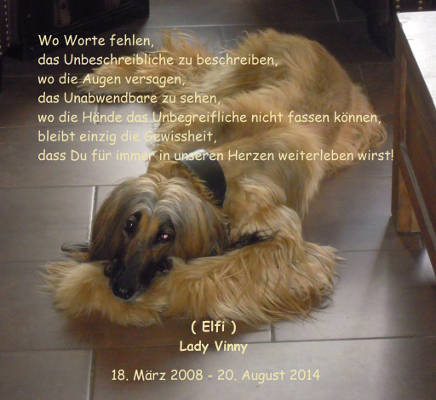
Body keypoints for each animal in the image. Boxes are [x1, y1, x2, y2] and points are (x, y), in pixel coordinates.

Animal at [44, 29, 386, 326]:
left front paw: (89, 287)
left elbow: (203, 273)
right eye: (129, 226)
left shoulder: (286, 246)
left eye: (166, 236)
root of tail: (313, 42)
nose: (122, 288)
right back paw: (107, 78)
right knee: (183, 65)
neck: (220, 167)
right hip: (216, 88)